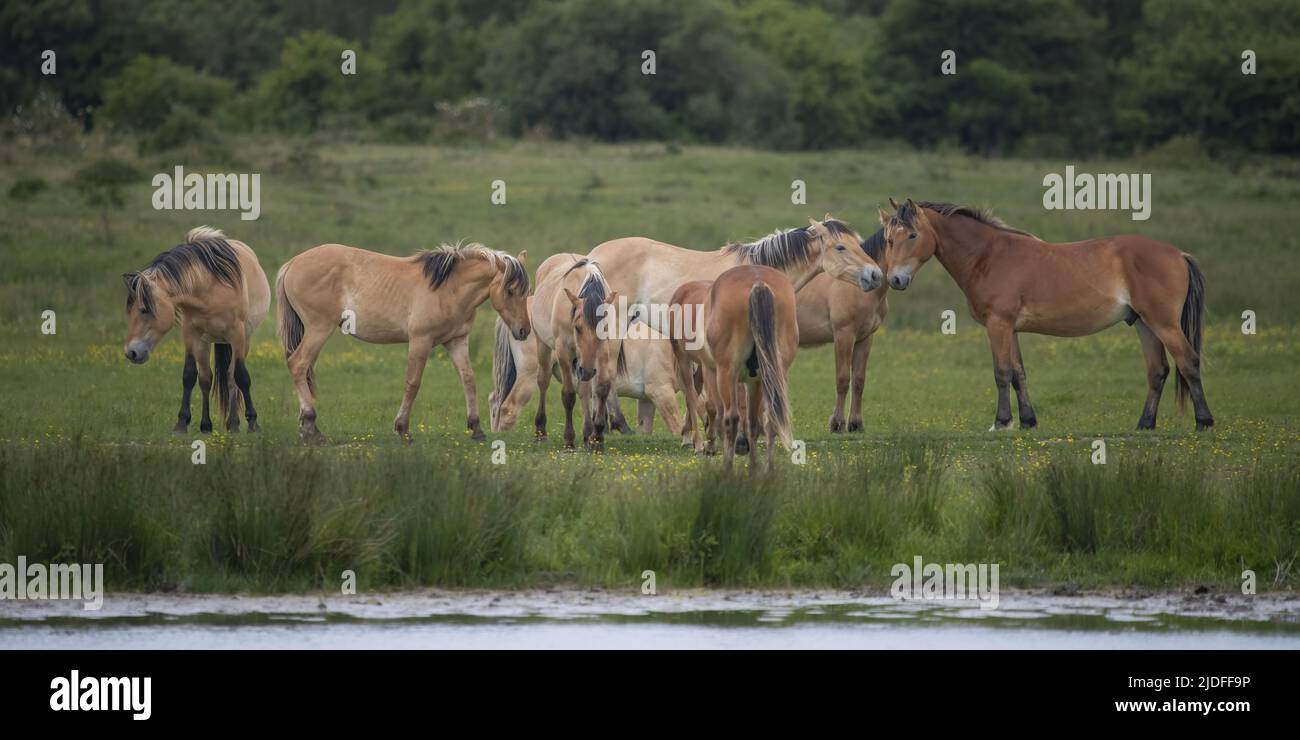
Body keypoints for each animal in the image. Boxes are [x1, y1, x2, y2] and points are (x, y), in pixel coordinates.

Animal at [276, 241, 530, 442]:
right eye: (509, 290)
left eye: (526, 292)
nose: (524, 330)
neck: (448, 289)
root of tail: (292, 263)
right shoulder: (420, 341)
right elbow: (413, 383)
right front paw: (403, 429)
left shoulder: (456, 341)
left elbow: (468, 380)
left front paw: (476, 428)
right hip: (319, 329)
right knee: (298, 364)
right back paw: (310, 427)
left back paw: (310, 427)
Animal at [878, 198, 1211, 429]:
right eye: (889, 239)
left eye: (911, 235)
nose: (896, 280)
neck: (989, 256)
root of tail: (1179, 254)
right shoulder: (1010, 329)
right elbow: (1018, 374)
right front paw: (1027, 421)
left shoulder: (998, 325)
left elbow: (1001, 373)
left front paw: (1001, 422)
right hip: (1143, 324)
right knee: (1158, 371)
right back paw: (1145, 424)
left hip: (1163, 323)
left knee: (1188, 362)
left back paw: (1204, 421)